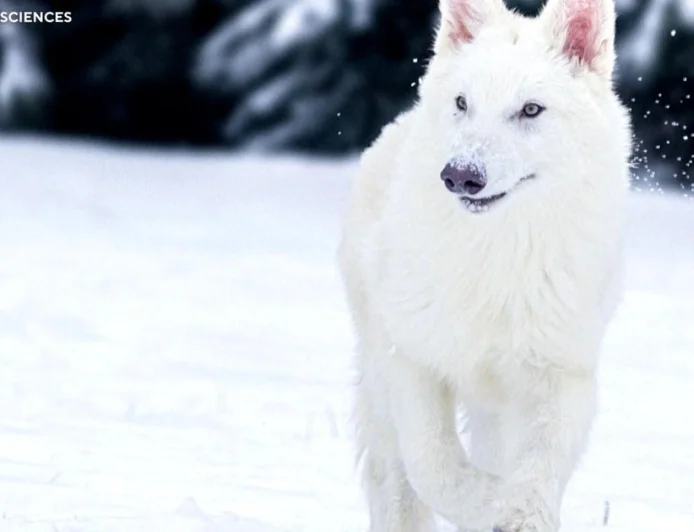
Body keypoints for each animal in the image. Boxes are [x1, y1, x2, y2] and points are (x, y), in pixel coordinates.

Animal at [337, 0, 632, 530]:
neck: (497, 255)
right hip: (379, 373)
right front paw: (491, 501)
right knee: (397, 480)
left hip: (496, 409)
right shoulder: (410, 361)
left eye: (530, 109)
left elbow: (538, 471)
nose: (460, 176)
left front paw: (519, 513)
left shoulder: (562, 376)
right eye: (462, 103)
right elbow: (434, 466)